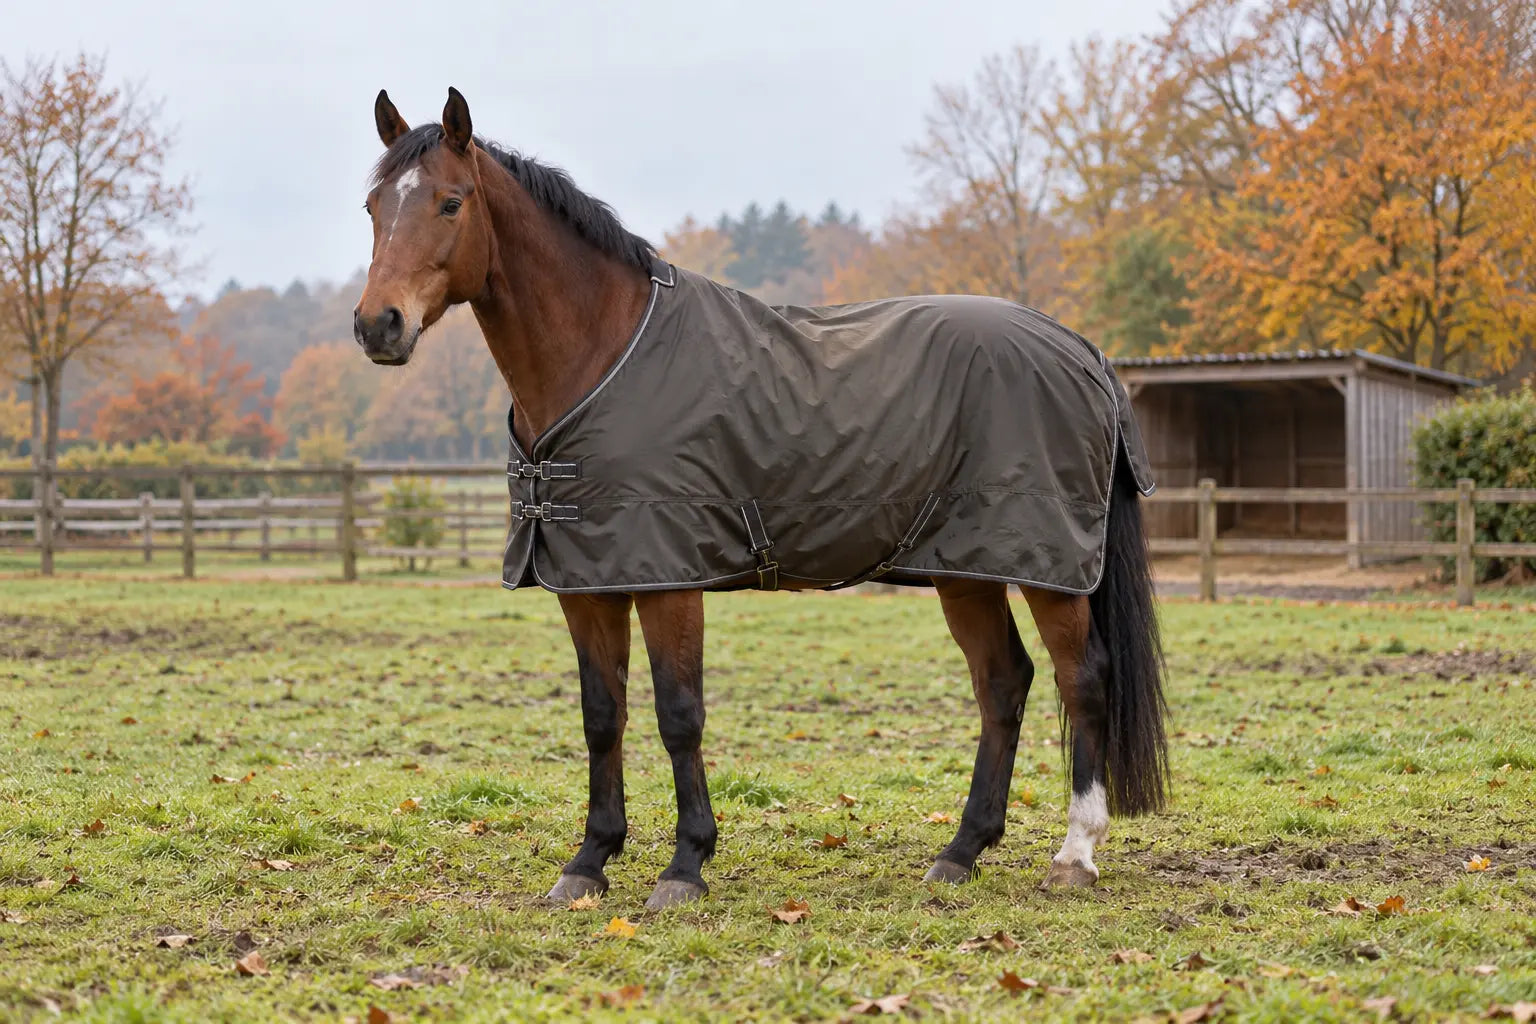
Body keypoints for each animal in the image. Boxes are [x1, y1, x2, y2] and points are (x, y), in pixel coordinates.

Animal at [353, 88, 1169, 911]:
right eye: (372, 207)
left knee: (1083, 679)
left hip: (1048, 572)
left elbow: (679, 715)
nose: (377, 325)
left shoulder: (669, 578)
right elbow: (602, 716)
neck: (606, 354)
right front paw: (589, 861)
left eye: (451, 202)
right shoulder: (589, 581)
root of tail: (1083, 351)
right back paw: (962, 850)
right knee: (1003, 685)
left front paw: (685, 865)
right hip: (965, 570)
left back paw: (1075, 853)